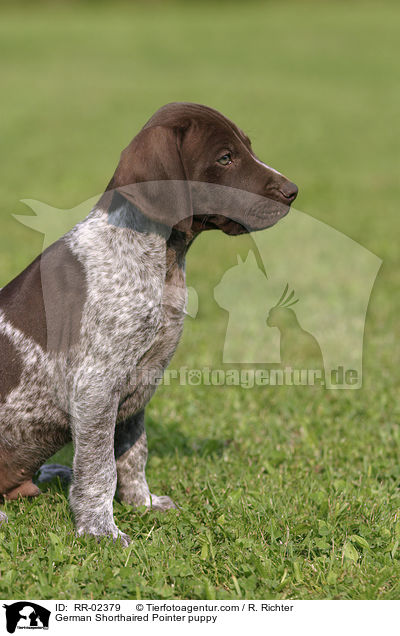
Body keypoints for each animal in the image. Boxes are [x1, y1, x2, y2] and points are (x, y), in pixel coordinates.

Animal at [0, 102, 296, 544]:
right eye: (225, 158)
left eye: (248, 146)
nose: (293, 191)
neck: (159, 256)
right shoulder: (96, 385)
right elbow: (100, 468)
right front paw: (100, 531)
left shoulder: (140, 381)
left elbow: (132, 453)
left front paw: (142, 502)